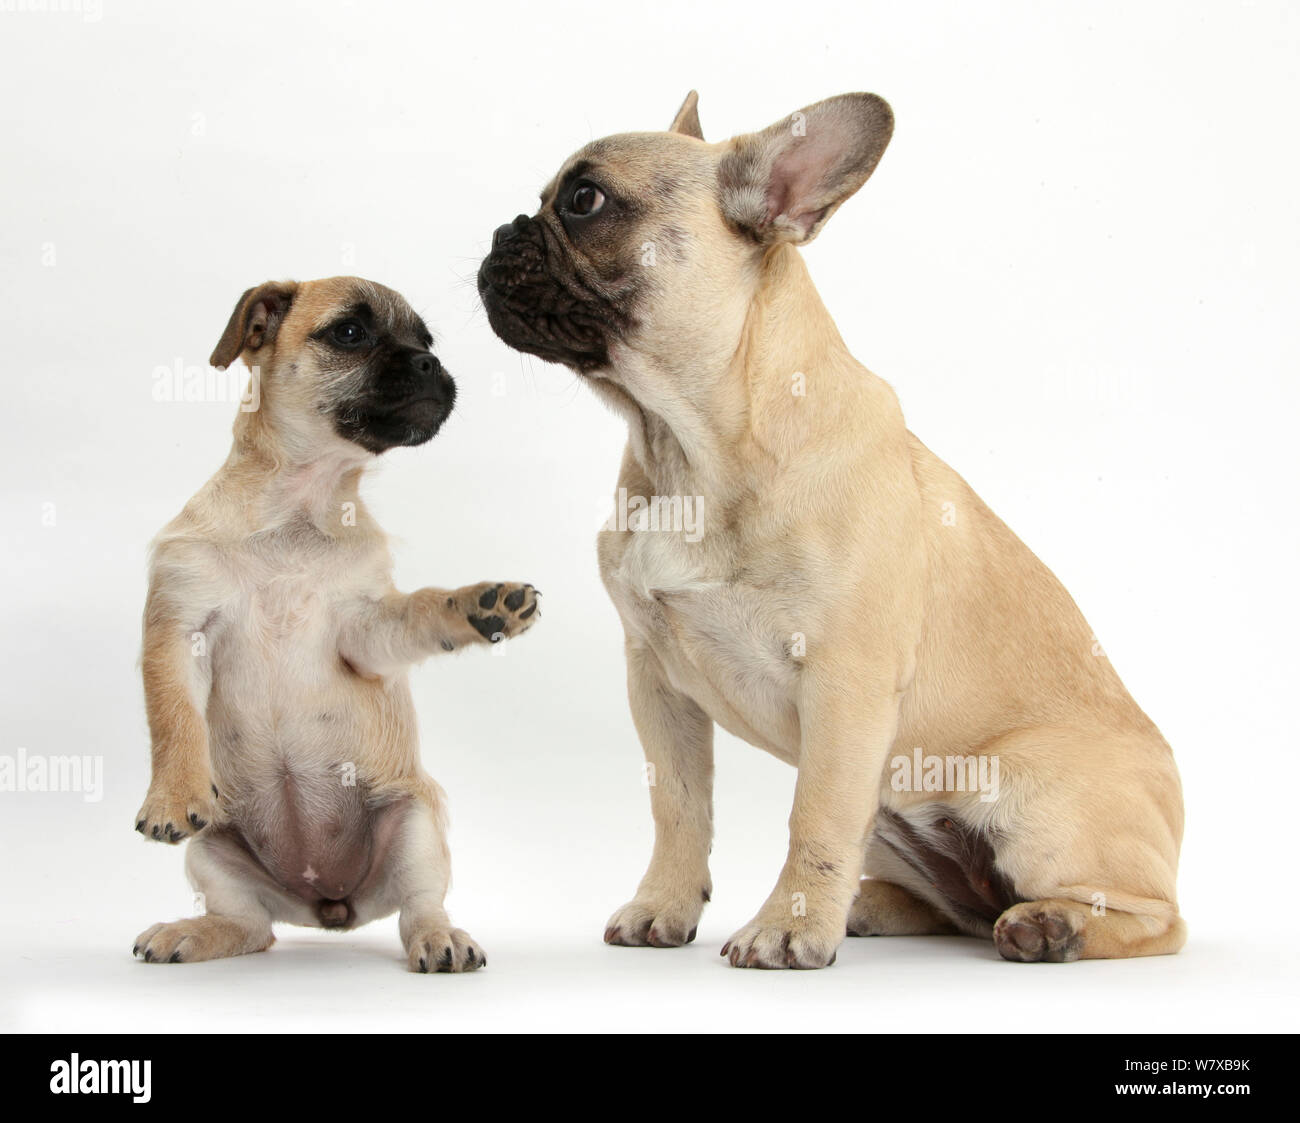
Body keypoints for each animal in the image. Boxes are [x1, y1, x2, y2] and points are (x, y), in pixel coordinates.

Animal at [133, 276, 538, 967]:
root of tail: (328, 905)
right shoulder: (178, 629)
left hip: (416, 821)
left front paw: (477, 604)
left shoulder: (365, 631)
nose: (429, 363)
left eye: (426, 341)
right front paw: (172, 794)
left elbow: (420, 608)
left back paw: (442, 938)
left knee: (418, 909)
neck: (299, 506)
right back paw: (191, 932)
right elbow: (174, 719)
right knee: (249, 926)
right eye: (350, 333)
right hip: (214, 852)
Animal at [480, 92, 1190, 967]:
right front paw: (665, 904)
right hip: (898, 819)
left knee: (1153, 917)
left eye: (585, 200)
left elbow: (813, 812)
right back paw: (873, 904)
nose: (500, 233)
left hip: (1026, 792)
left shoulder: (844, 680)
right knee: (948, 904)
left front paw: (787, 928)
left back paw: (1049, 925)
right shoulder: (656, 681)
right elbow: (679, 807)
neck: (688, 448)